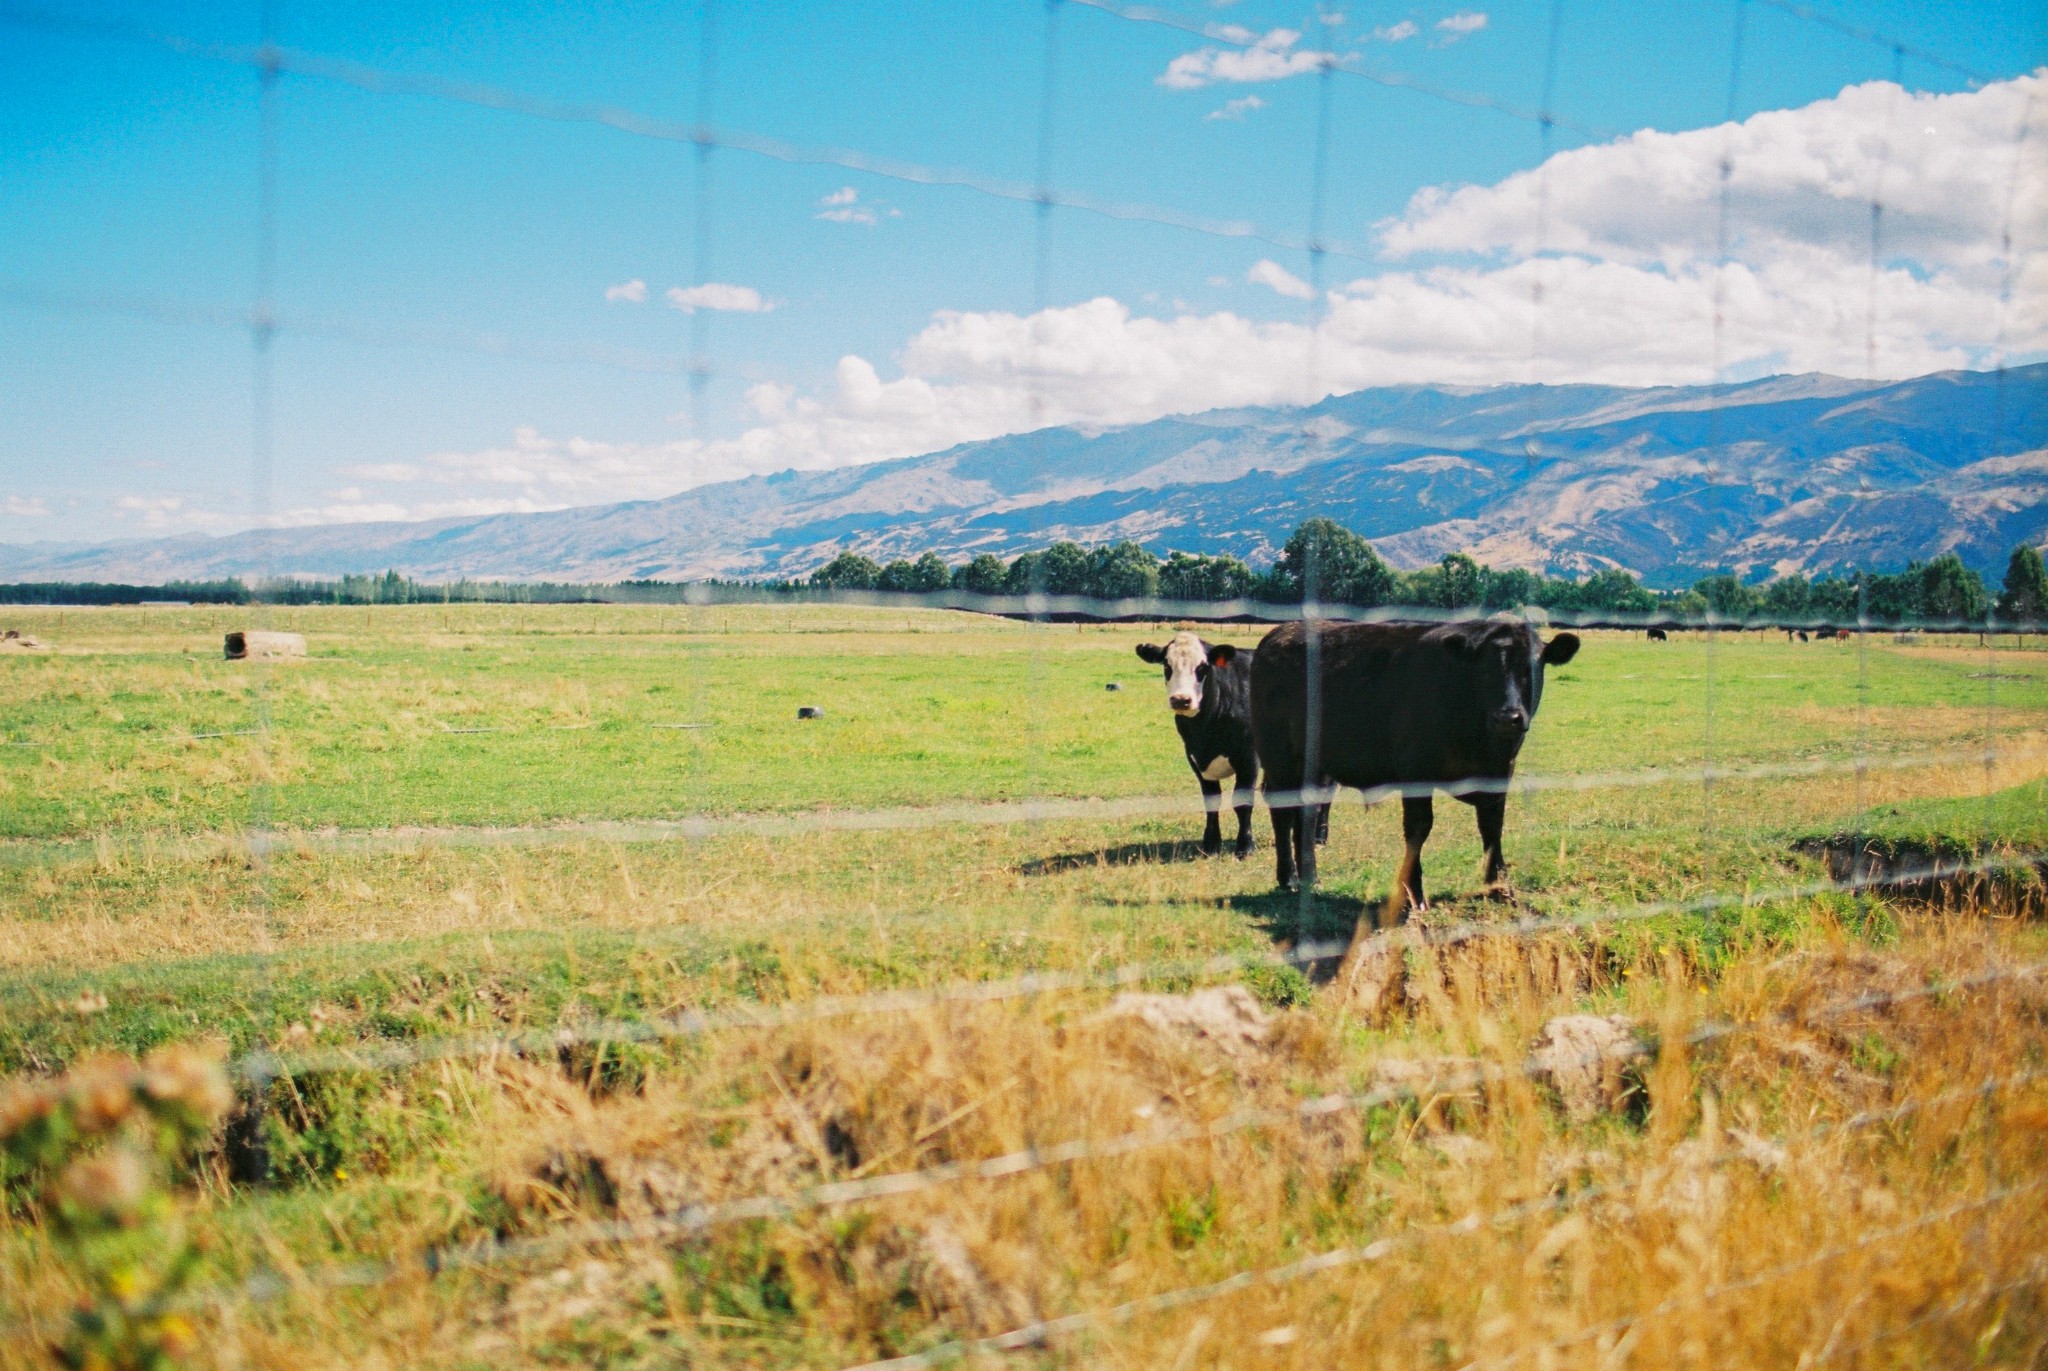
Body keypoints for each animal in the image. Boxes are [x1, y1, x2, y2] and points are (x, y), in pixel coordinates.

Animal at [1138, 631, 1261, 856]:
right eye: (1167, 666)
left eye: (1202, 667)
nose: (1181, 699)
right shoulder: (1194, 756)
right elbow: (1211, 800)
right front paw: (1211, 843)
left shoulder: (1248, 758)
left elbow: (1242, 802)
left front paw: (1245, 846)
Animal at [1245, 618, 1581, 909]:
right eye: (1484, 670)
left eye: (1531, 669)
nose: (1508, 717)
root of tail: (1280, 633)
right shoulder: (1415, 772)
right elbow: (1418, 830)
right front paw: (1415, 895)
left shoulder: (1499, 775)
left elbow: (1492, 829)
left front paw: (1500, 888)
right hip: (1279, 758)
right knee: (1283, 811)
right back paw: (1288, 878)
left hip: (1312, 765)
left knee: (1307, 811)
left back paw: (1309, 877)